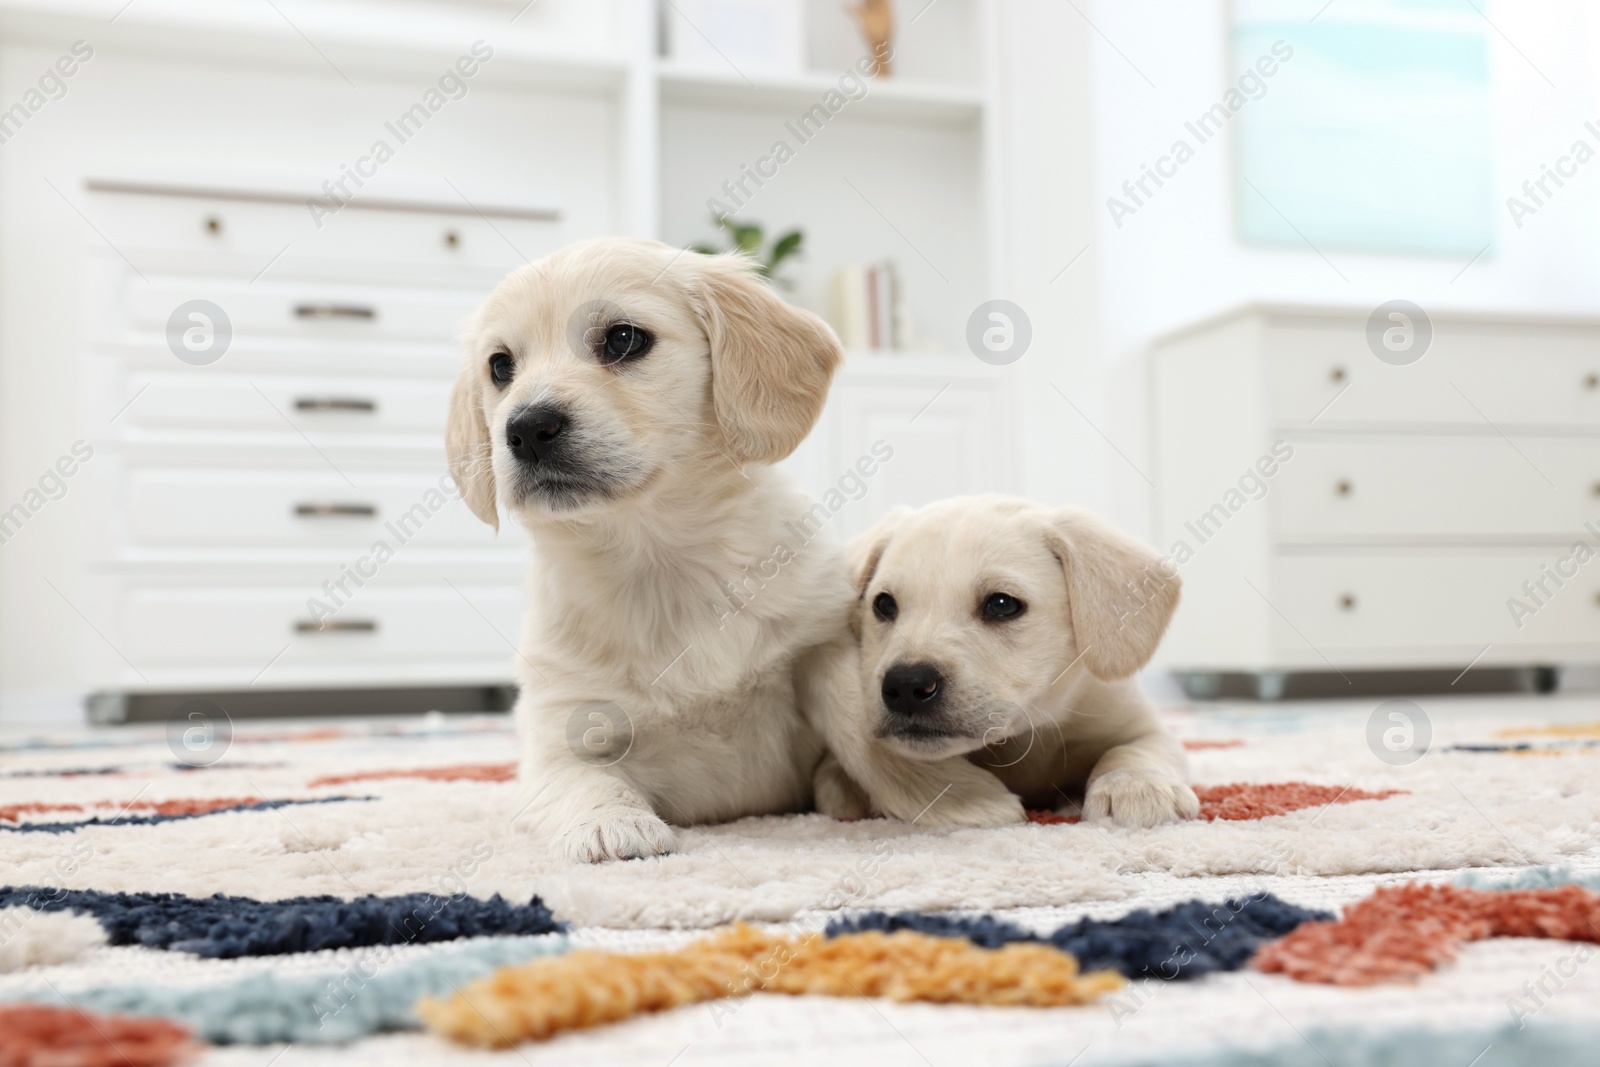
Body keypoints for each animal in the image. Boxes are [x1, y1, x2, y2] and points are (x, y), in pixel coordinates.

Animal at [812, 495, 1203, 831]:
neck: (1026, 734)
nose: (906, 685)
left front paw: (1136, 786)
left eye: (1002, 604)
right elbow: (834, 774)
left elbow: (1136, 749)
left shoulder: (1141, 723)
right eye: (883, 605)